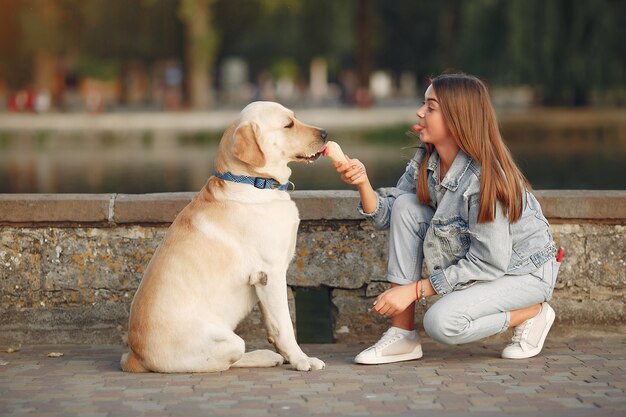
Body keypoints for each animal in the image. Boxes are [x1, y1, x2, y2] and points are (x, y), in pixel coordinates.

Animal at [122, 101, 326, 374]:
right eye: (288, 124)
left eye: (295, 117)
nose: (325, 133)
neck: (252, 182)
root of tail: (134, 357)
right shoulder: (270, 273)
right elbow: (285, 326)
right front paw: (302, 359)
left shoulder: (264, 281)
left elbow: (273, 325)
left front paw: (288, 355)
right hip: (229, 341)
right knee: (228, 362)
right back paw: (263, 356)